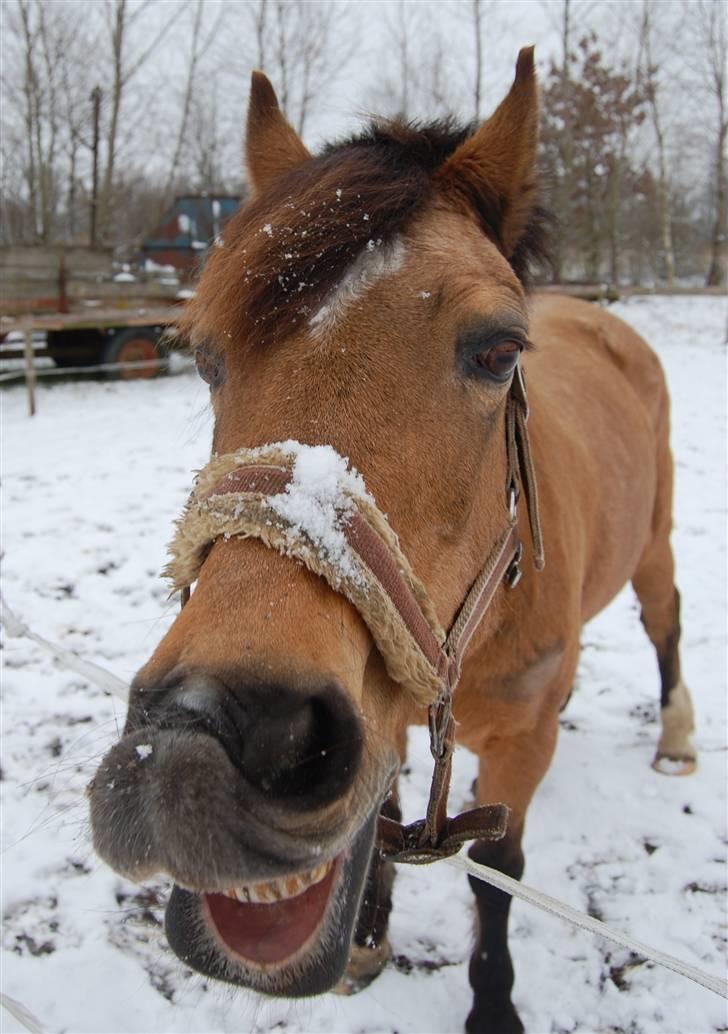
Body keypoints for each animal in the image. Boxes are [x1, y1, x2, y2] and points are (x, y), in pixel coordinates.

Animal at [87, 50, 694, 1034]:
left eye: (498, 351)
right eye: (205, 357)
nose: (196, 747)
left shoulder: (512, 752)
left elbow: (498, 877)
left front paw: (494, 1007)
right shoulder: (390, 707)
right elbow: (380, 818)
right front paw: (369, 938)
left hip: (656, 542)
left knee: (664, 618)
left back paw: (676, 736)